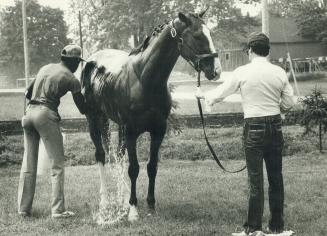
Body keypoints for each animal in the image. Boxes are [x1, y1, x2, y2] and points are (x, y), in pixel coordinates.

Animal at [80, 10, 222, 220]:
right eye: (197, 36)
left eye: (210, 34)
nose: (216, 70)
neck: (144, 79)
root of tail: (92, 61)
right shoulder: (131, 132)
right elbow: (133, 169)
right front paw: (133, 210)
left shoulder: (158, 130)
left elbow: (151, 167)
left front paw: (150, 205)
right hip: (95, 119)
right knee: (101, 155)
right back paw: (105, 201)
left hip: (119, 126)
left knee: (119, 156)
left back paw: (122, 198)